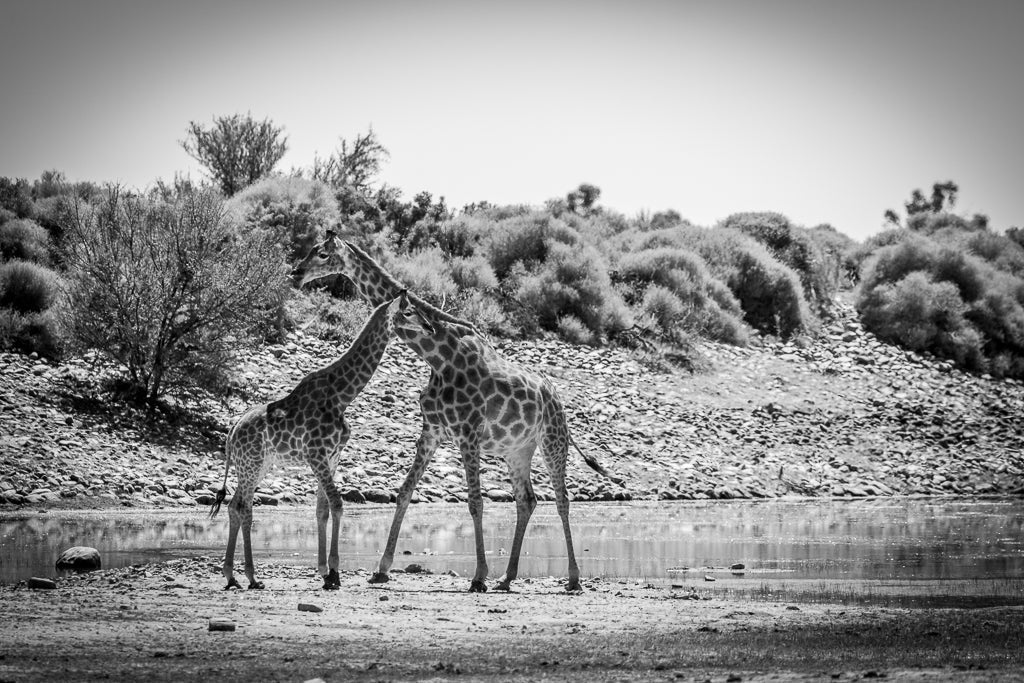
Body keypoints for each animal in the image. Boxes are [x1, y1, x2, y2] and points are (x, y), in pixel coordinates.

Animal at [208, 290, 403, 589]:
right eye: (409, 312)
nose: (430, 328)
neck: (342, 396)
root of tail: (231, 433)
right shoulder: (316, 455)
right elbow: (337, 504)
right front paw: (334, 572)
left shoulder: (332, 457)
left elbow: (322, 509)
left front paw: (324, 571)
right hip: (251, 465)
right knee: (244, 508)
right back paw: (251, 576)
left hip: (256, 465)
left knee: (233, 506)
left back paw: (233, 576)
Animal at [372, 299, 618, 593]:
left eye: (407, 312)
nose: (387, 322)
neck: (439, 361)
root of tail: (555, 395)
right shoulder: (431, 431)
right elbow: (405, 491)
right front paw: (381, 569)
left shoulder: (468, 433)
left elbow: (475, 502)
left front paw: (479, 576)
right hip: (518, 450)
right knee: (527, 500)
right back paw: (507, 577)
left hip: (553, 438)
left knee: (562, 500)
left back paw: (573, 577)